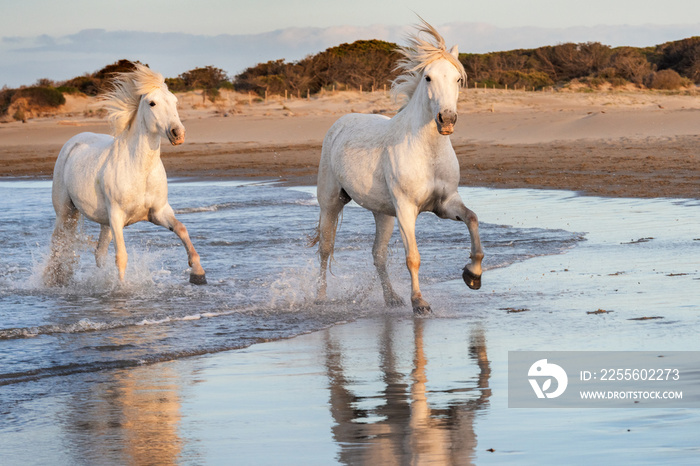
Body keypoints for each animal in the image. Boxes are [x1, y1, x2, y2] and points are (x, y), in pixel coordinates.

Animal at [44, 63, 205, 286]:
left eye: (175, 101)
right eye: (152, 103)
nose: (178, 133)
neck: (140, 170)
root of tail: (74, 140)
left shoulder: (158, 212)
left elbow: (181, 229)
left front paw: (198, 273)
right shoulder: (117, 216)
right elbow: (121, 256)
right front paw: (121, 289)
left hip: (103, 222)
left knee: (99, 253)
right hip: (65, 212)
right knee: (58, 244)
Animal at [314, 20, 484, 314]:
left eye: (457, 79)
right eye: (428, 78)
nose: (447, 119)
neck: (428, 153)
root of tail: (340, 123)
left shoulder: (445, 204)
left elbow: (472, 219)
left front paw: (473, 275)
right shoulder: (406, 209)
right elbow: (412, 256)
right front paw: (419, 303)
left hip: (383, 214)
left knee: (378, 255)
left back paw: (392, 298)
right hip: (331, 203)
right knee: (326, 248)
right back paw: (322, 298)